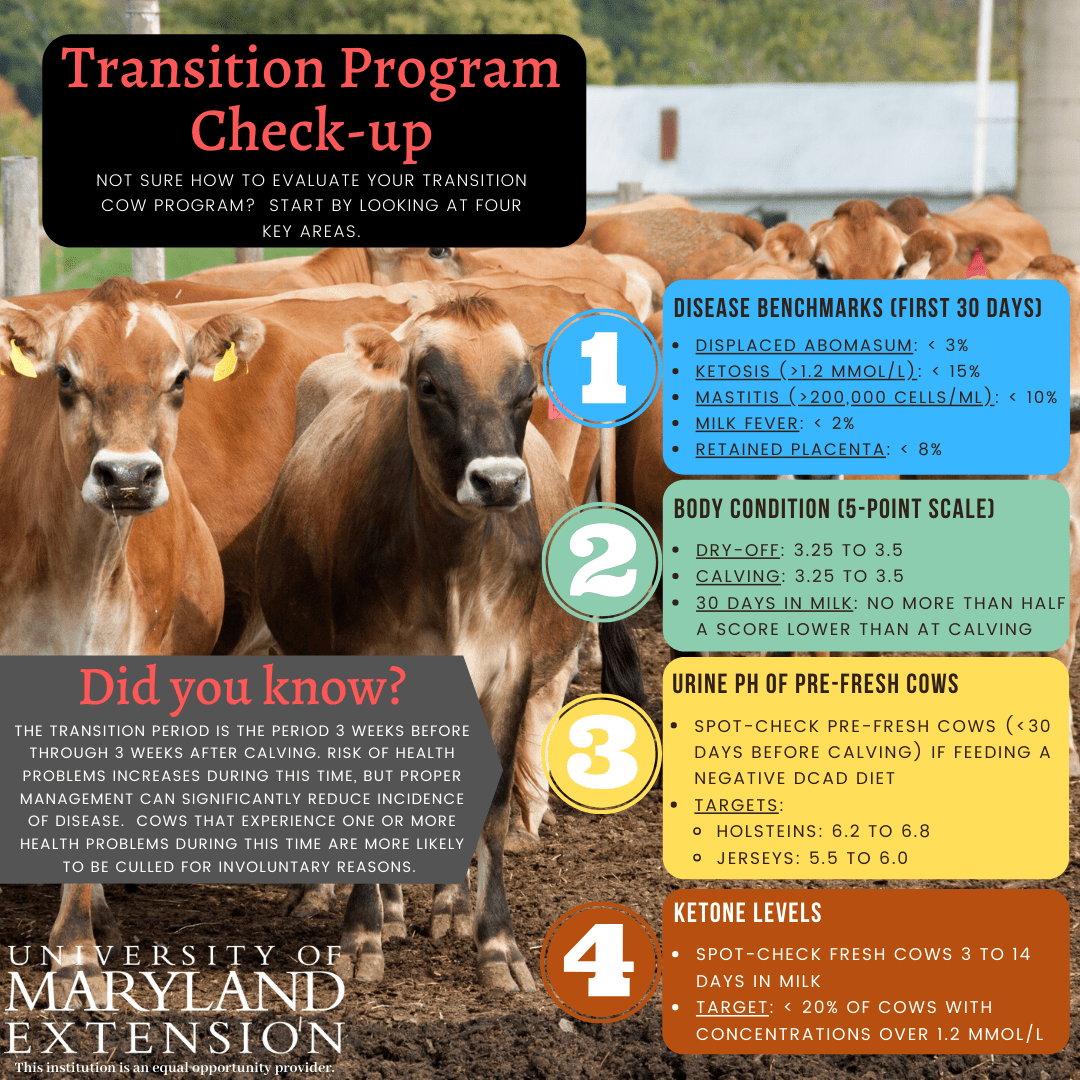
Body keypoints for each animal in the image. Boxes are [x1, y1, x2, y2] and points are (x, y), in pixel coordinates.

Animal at [256, 295, 593, 990]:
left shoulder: (508, 670)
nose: (498, 482)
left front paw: (497, 946)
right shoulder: (362, 667)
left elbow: (488, 810)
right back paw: (360, 905)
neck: (454, 567)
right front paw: (361, 937)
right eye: (429, 385)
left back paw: (449, 907)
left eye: (528, 388)